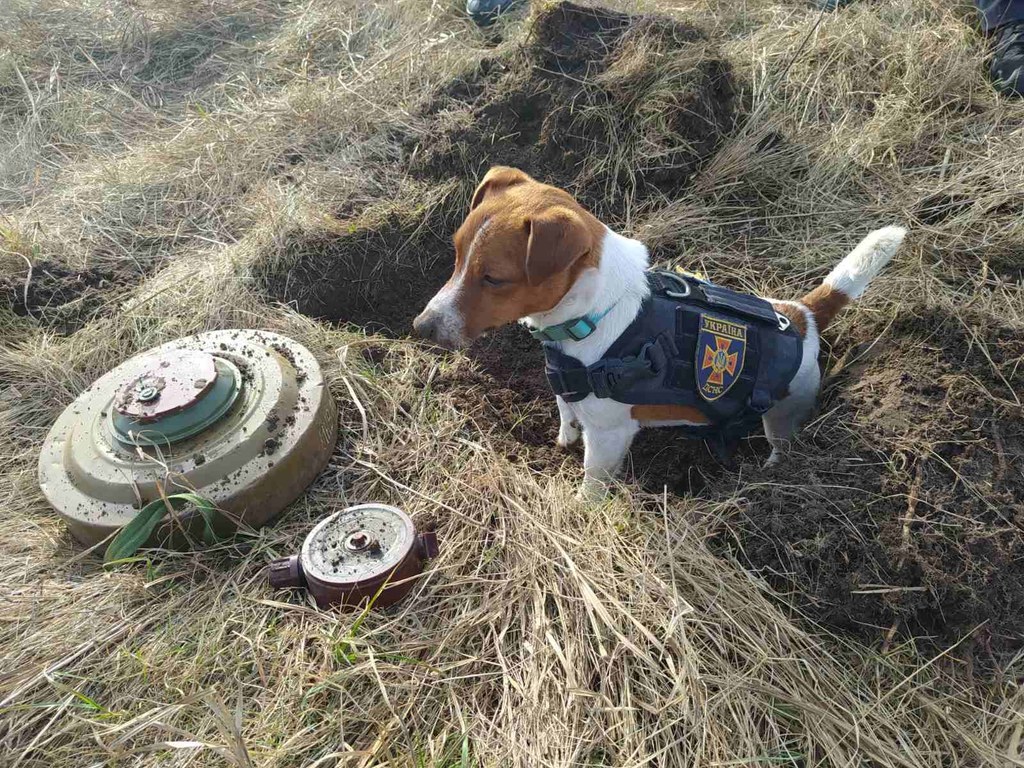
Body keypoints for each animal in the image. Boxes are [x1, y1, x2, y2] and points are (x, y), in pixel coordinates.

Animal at [411, 167, 909, 499]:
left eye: (494, 279)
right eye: (456, 253)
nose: (420, 326)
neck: (595, 313)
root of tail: (802, 314)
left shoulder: (609, 435)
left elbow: (592, 480)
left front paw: (582, 506)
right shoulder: (567, 389)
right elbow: (566, 414)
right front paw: (562, 440)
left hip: (785, 413)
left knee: (782, 443)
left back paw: (770, 472)